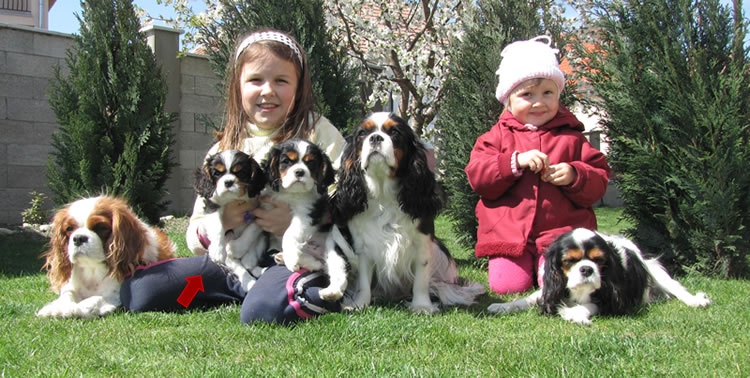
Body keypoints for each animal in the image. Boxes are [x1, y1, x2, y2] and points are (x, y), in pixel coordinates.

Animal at [37, 196, 176, 318]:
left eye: (101, 227)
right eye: (69, 229)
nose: (78, 238)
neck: (92, 268)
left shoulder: (115, 292)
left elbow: (96, 298)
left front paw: (78, 308)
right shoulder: (71, 285)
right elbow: (67, 295)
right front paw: (56, 308)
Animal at [330, 112, 484, 314]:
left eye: (394, 132)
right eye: (362, 133)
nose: (376, 138)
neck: (384, 195)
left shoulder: (423, 244)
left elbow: (421, 279)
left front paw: (422, 305)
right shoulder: (363, 247)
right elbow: (364, 281)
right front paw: (359, 303)